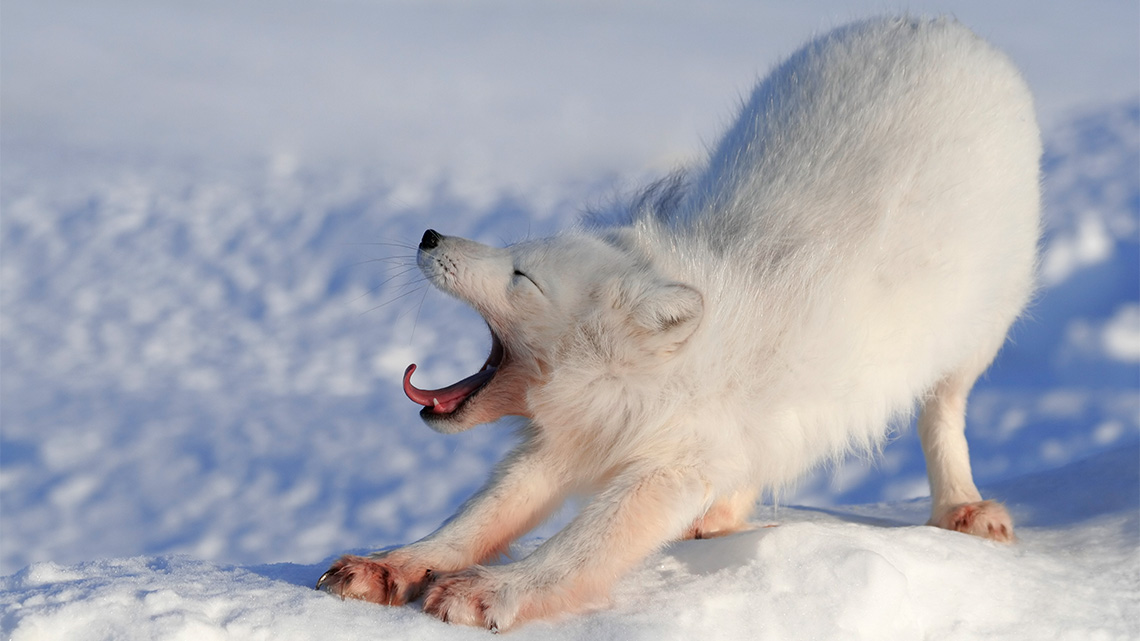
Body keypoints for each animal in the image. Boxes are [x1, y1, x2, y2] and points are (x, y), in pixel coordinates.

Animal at [317, 16, 1041, 630]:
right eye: (512, 251)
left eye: (522, 276)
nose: (430, 235)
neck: (637, 382)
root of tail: (935, 23)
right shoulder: (567, 443)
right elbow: (476, 517)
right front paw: (393, 565)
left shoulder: (670, 467)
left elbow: (585, 545)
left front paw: (494, 590)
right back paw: (722, 518)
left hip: (975, 335)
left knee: (943, 411)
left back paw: (962, 507)